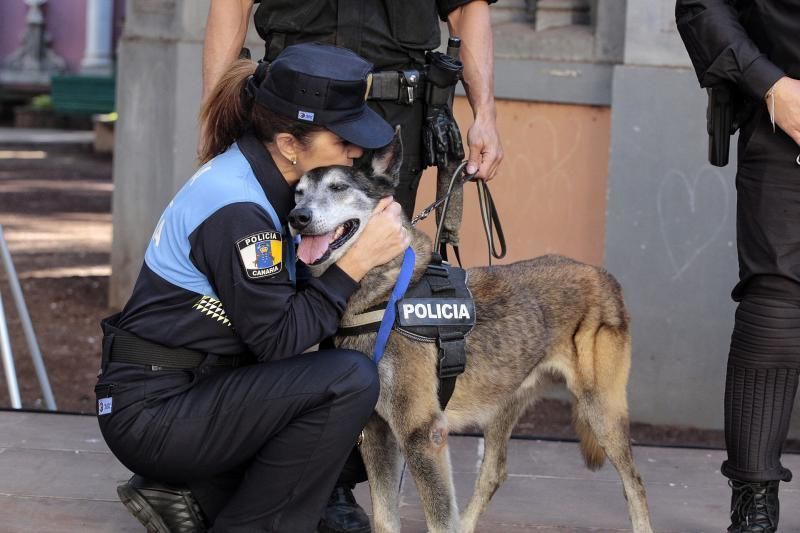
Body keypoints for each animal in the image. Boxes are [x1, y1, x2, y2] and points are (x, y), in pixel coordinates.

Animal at [290, 132, 652, 532]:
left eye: (338, 187)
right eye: (298, 194)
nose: (296, 218)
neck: (388, 291)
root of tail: (604, 275)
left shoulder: (422, 434)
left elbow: (439, 519)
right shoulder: (375, 434)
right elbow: (385, 518)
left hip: (602, 412)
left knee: (633, 482)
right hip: (504, 405)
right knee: (494, 473)